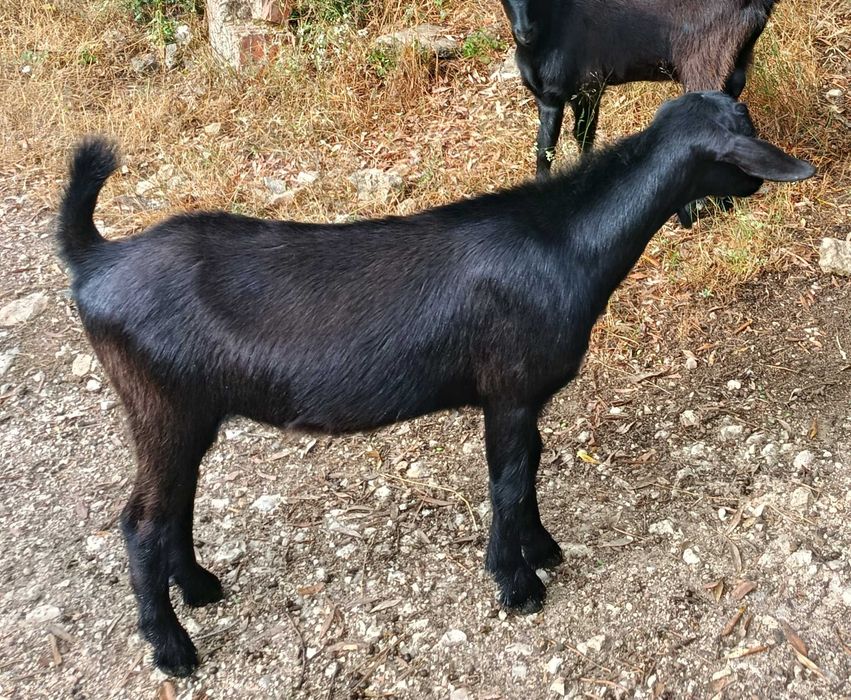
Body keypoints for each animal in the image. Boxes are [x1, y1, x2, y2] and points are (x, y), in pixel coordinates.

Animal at [57, 92, 813, 677]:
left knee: (174, 507)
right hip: (161, 404)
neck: (562, 242)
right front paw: (517, 584)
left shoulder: (521, 398)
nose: (774, 176)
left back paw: (201, 587)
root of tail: (97, 261)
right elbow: (508, 479)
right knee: (141, 521)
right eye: (742, 140)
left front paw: (541, 549)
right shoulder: (508, 389)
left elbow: (529, 468)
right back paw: (173, 650)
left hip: (188, 412)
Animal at [501, 0, 780, 224]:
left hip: (705, 59)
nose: (525, 32)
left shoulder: (588, 87)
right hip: (736, 59)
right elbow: (545, 149)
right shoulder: (549, 98)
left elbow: (581, 137)